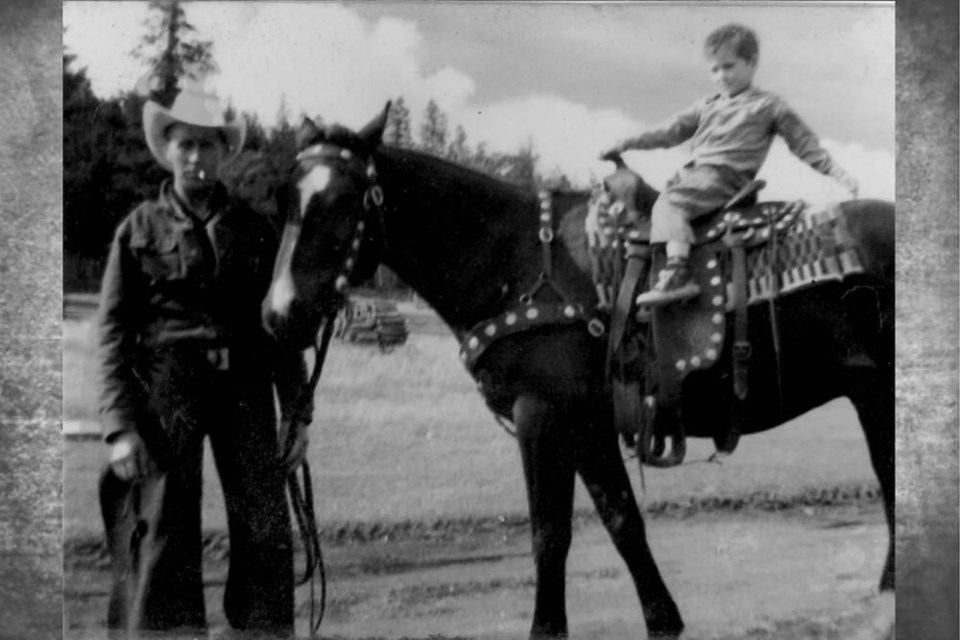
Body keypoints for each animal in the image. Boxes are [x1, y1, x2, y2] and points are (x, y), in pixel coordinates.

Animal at [260, 102, 892, 636]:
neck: (515, 263)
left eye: (343, 201)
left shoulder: (542, 417)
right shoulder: (588, 426)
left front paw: (547, 627)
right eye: (285, 199)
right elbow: (622, 521)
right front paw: (663, 618)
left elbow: (549, 534)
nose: (278, 314)